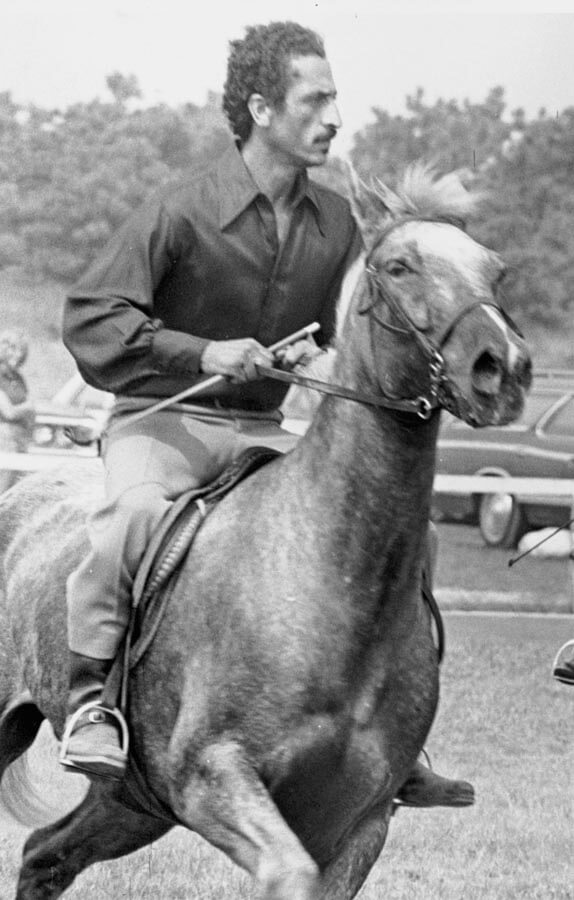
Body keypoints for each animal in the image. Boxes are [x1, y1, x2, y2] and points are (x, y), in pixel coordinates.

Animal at [0, 165, 531, 899]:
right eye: (399, 266)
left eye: (495, 270)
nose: (502, 367)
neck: (329, 580)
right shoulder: (215, 779)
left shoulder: (360, 824)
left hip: (131, 804)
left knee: (44, 855)